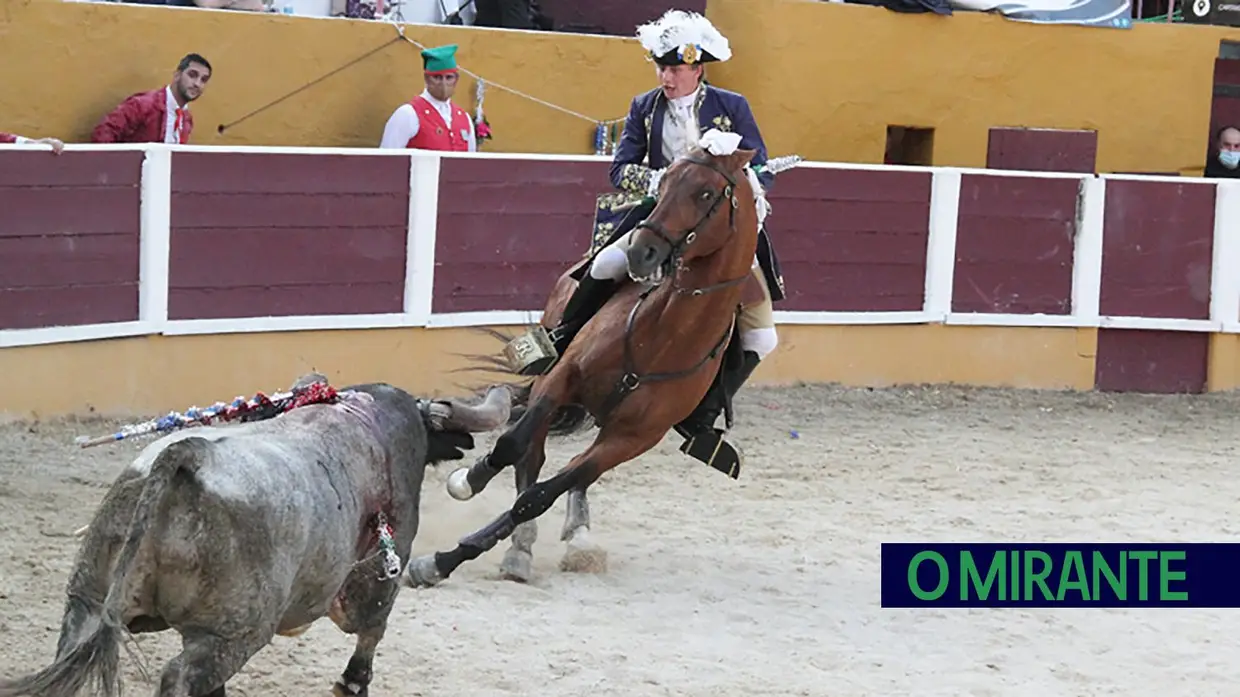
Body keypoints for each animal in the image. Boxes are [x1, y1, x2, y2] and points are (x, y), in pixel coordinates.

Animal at [0, 374, 513, 694]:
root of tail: (186, 456)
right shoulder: (375, 580)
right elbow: (370, 632)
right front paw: (351, 683)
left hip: (87, 603)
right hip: (231, 635)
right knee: (179, 680)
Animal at [406, 143, 763, 582]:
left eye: (706, 194)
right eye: (663, 182)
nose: (641, 251)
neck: (664, 336)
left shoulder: (632, 439)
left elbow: (541, 495)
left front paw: (442, 561)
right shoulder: (561, 378)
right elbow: (512, 446)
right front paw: (468, 480)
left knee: (574, 473)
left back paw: (569, 536)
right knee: (531, 454)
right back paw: (522, 540)